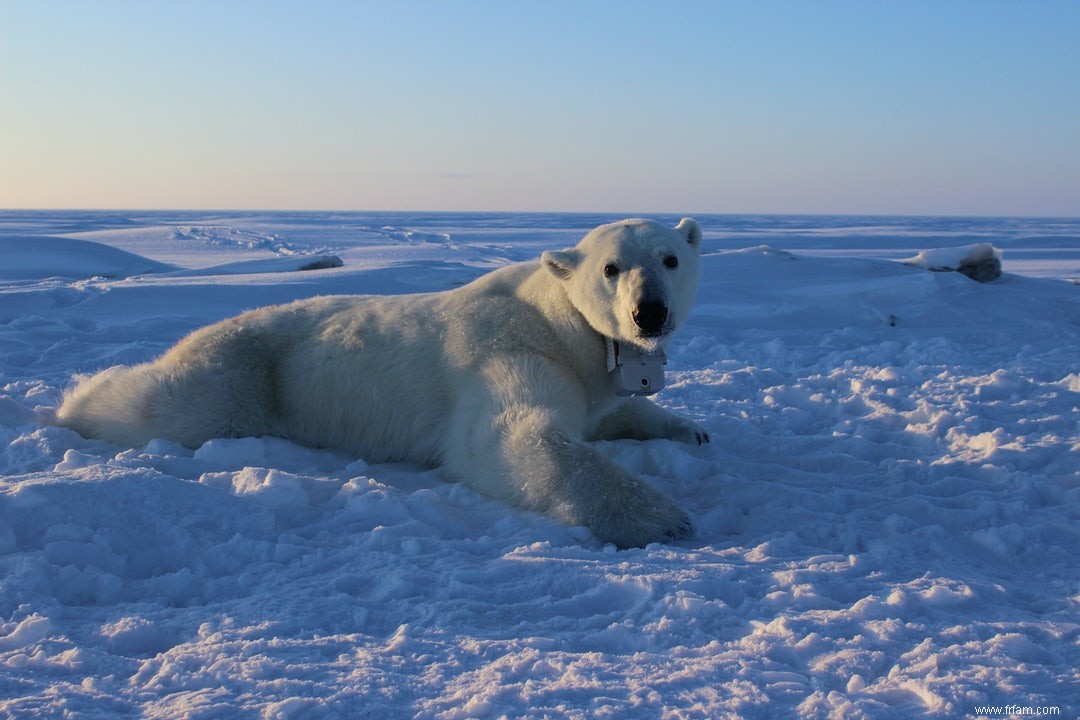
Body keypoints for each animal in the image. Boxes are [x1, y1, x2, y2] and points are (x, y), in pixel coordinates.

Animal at [56, 216, 708, 548]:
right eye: (611, 267)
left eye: (671, 258)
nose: (649, 313)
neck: (558, 321)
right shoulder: (510, 352)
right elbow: (508, 437)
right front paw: (662, 517)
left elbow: (612, 410)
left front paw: (689, 430)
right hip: (245, 374)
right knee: (167, 404)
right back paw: (72, 401)